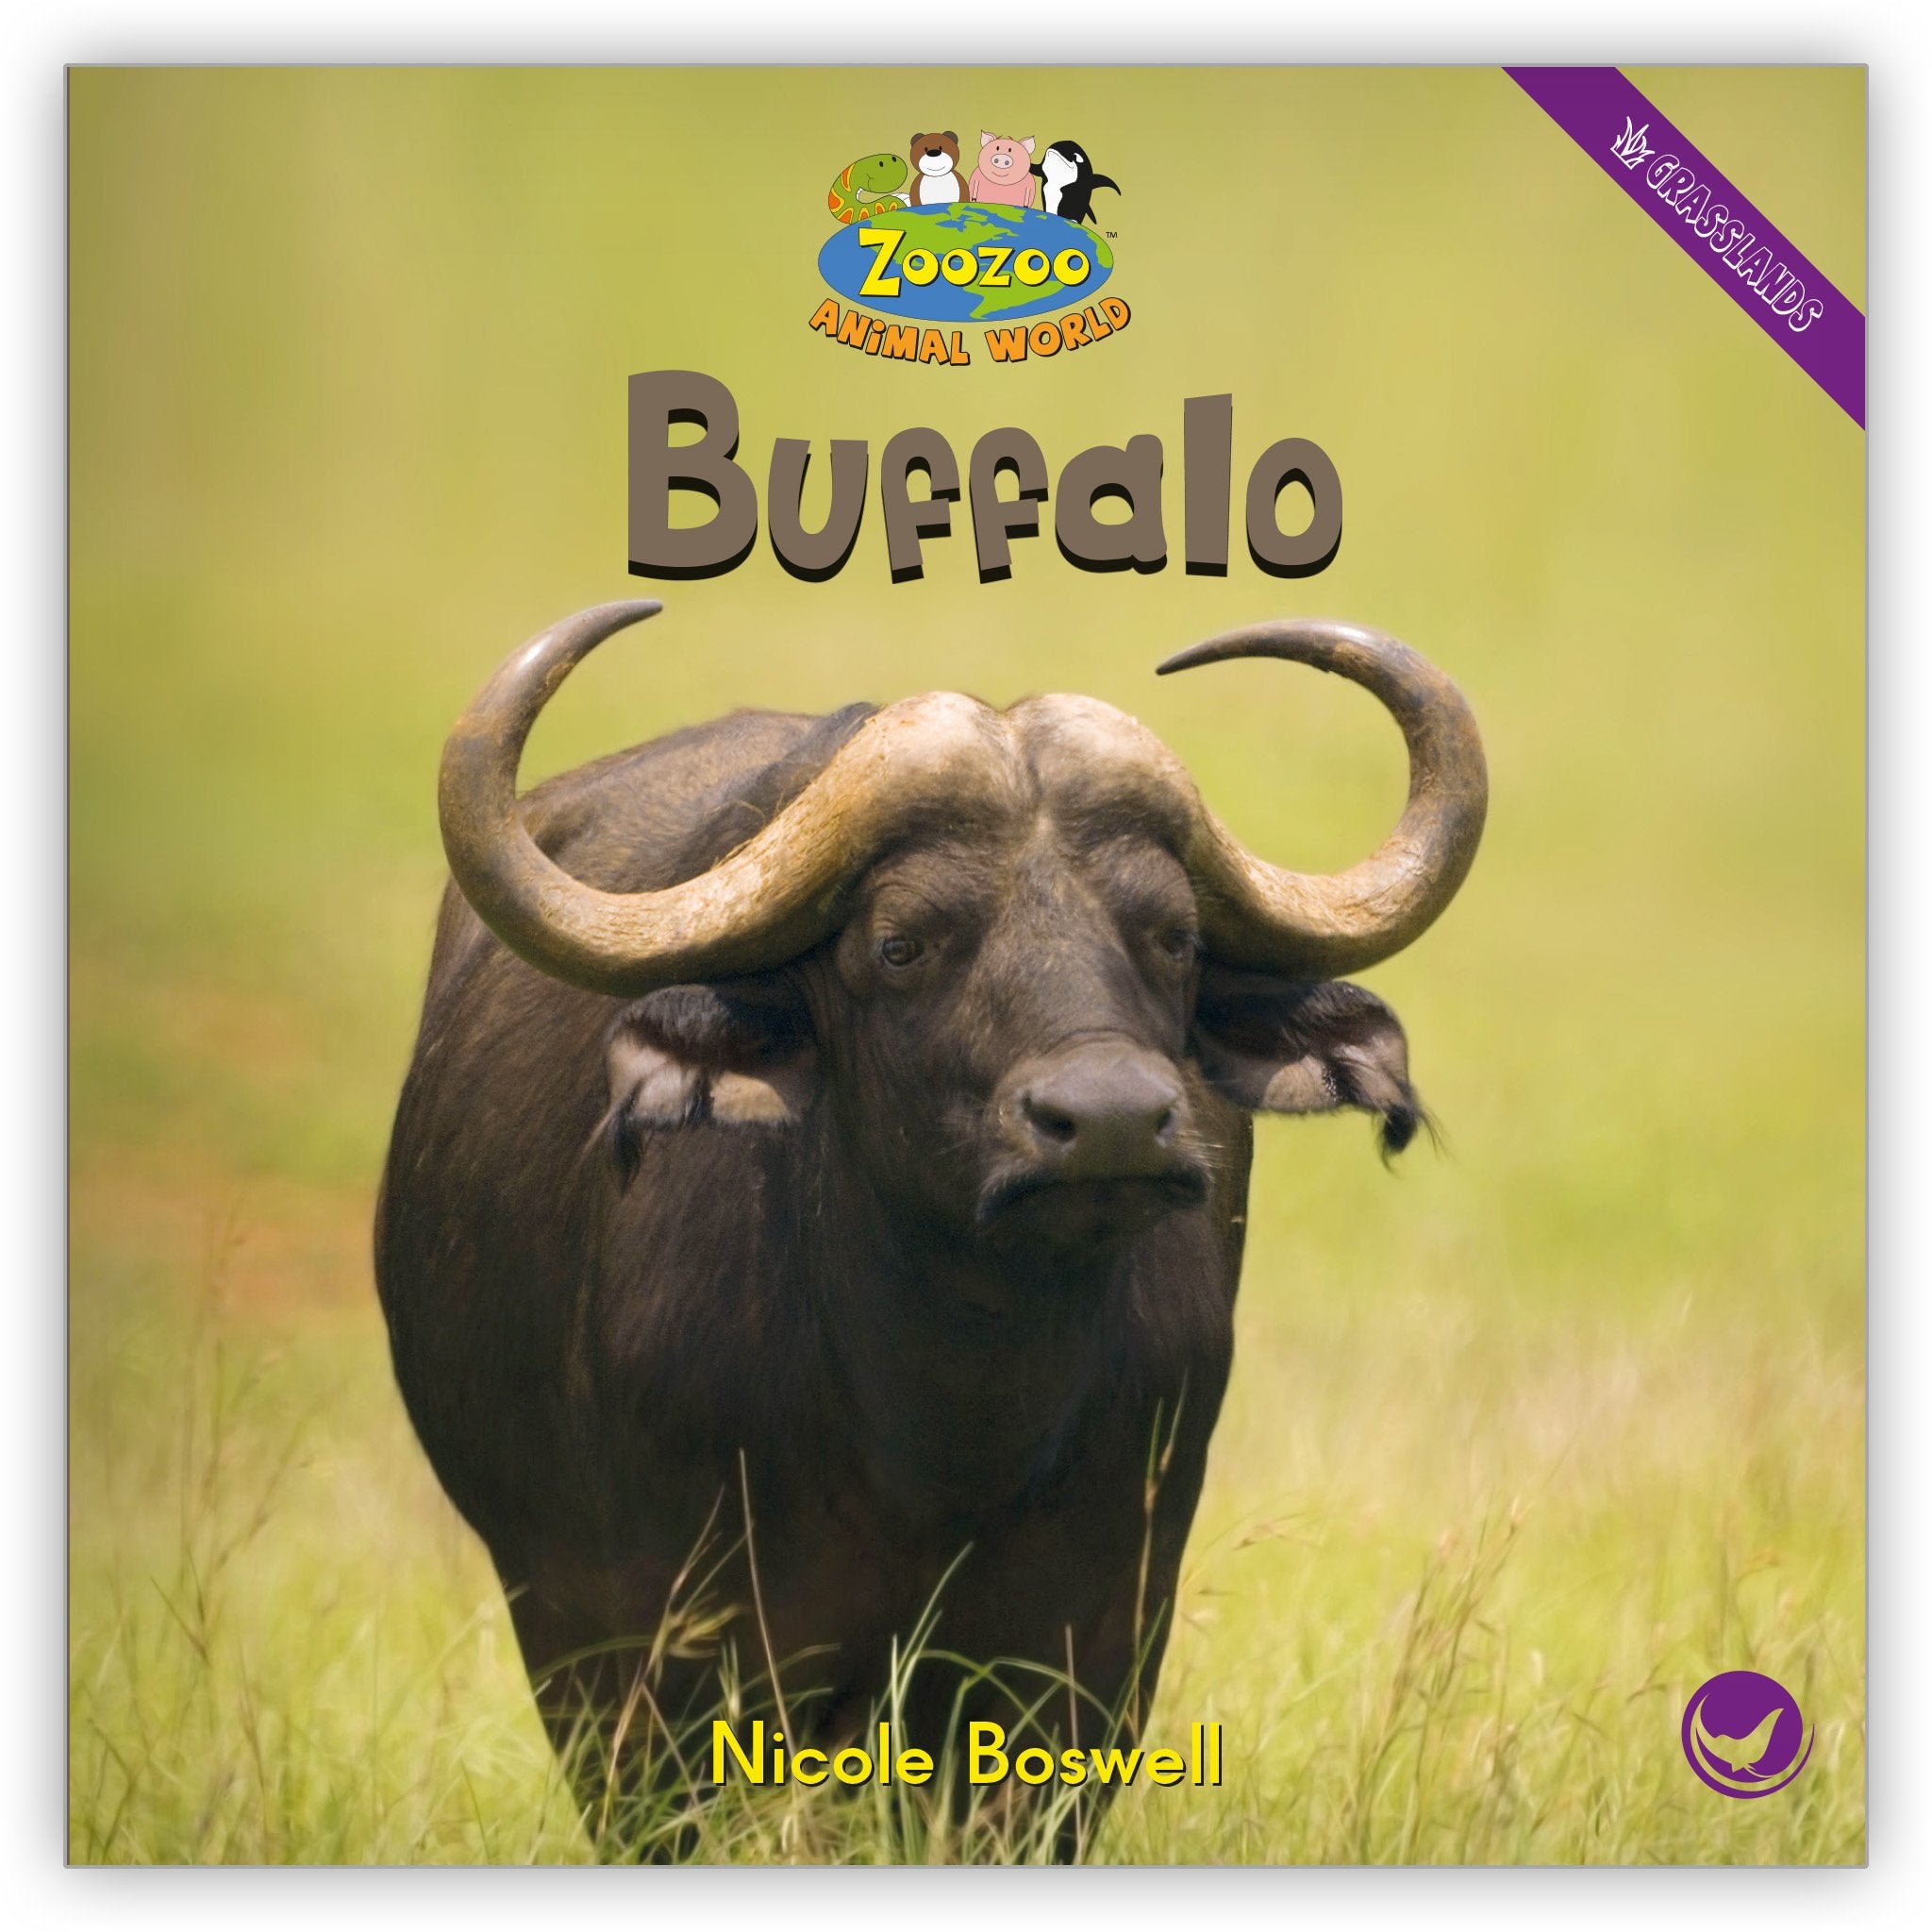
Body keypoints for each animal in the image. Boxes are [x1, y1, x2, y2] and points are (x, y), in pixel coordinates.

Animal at [374, 600, 1486, 1853]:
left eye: (1172, 937)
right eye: (901, 942)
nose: (1108, 1118)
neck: (941, 1424)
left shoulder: (1085, 1649)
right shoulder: (639, 1654)